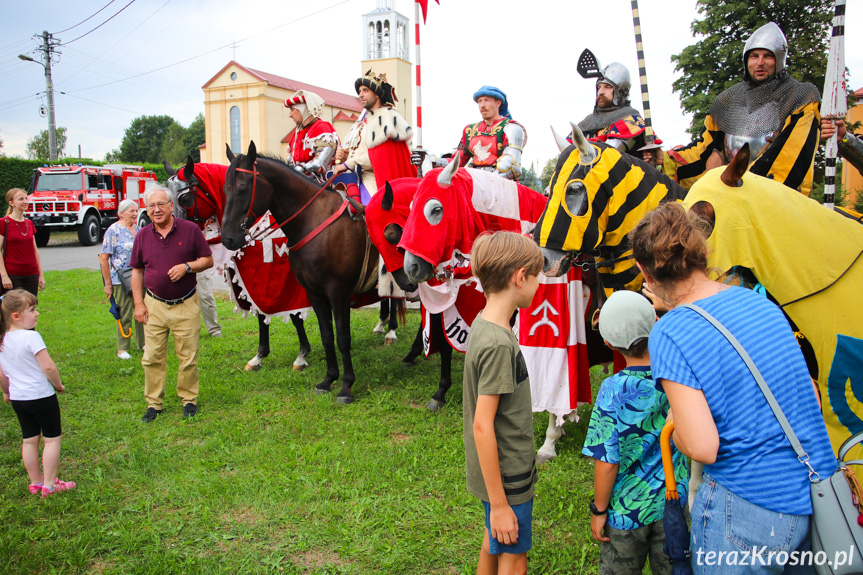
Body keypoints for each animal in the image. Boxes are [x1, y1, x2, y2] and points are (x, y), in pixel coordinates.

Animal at [223, 143, 382, 404]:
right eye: (225, 189)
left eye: (244, 188)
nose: (228, 239)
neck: (313, 219)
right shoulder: (314, 292)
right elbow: (327, 335)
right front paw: (329, 379)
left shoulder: (338, 291)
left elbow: (343, 337)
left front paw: (346, 386)